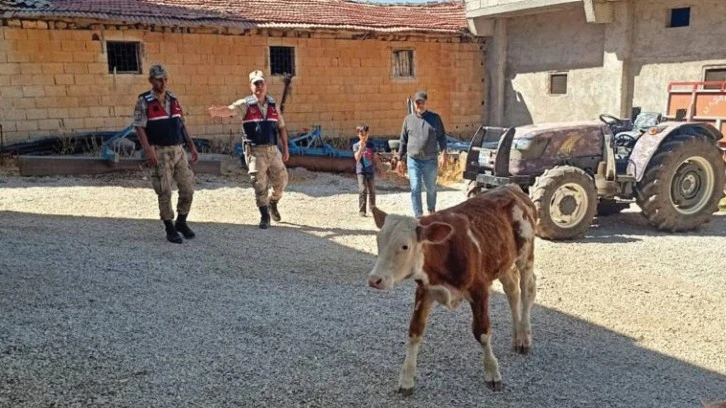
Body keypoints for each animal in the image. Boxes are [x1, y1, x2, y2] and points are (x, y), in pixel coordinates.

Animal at [366, 185, 536, 396]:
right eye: (378, 240)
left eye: (405, 246)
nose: (374, 279)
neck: (444, 251)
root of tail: (512, 188)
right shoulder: (425, 290)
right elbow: (415, 331)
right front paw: (406, 380)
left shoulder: (480, 289)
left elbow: (482, 332)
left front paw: (492, 373)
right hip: (502, 262)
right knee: (512, 290)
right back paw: (516, 335)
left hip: (526, 254)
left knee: (527, 289)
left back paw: (524, 337)